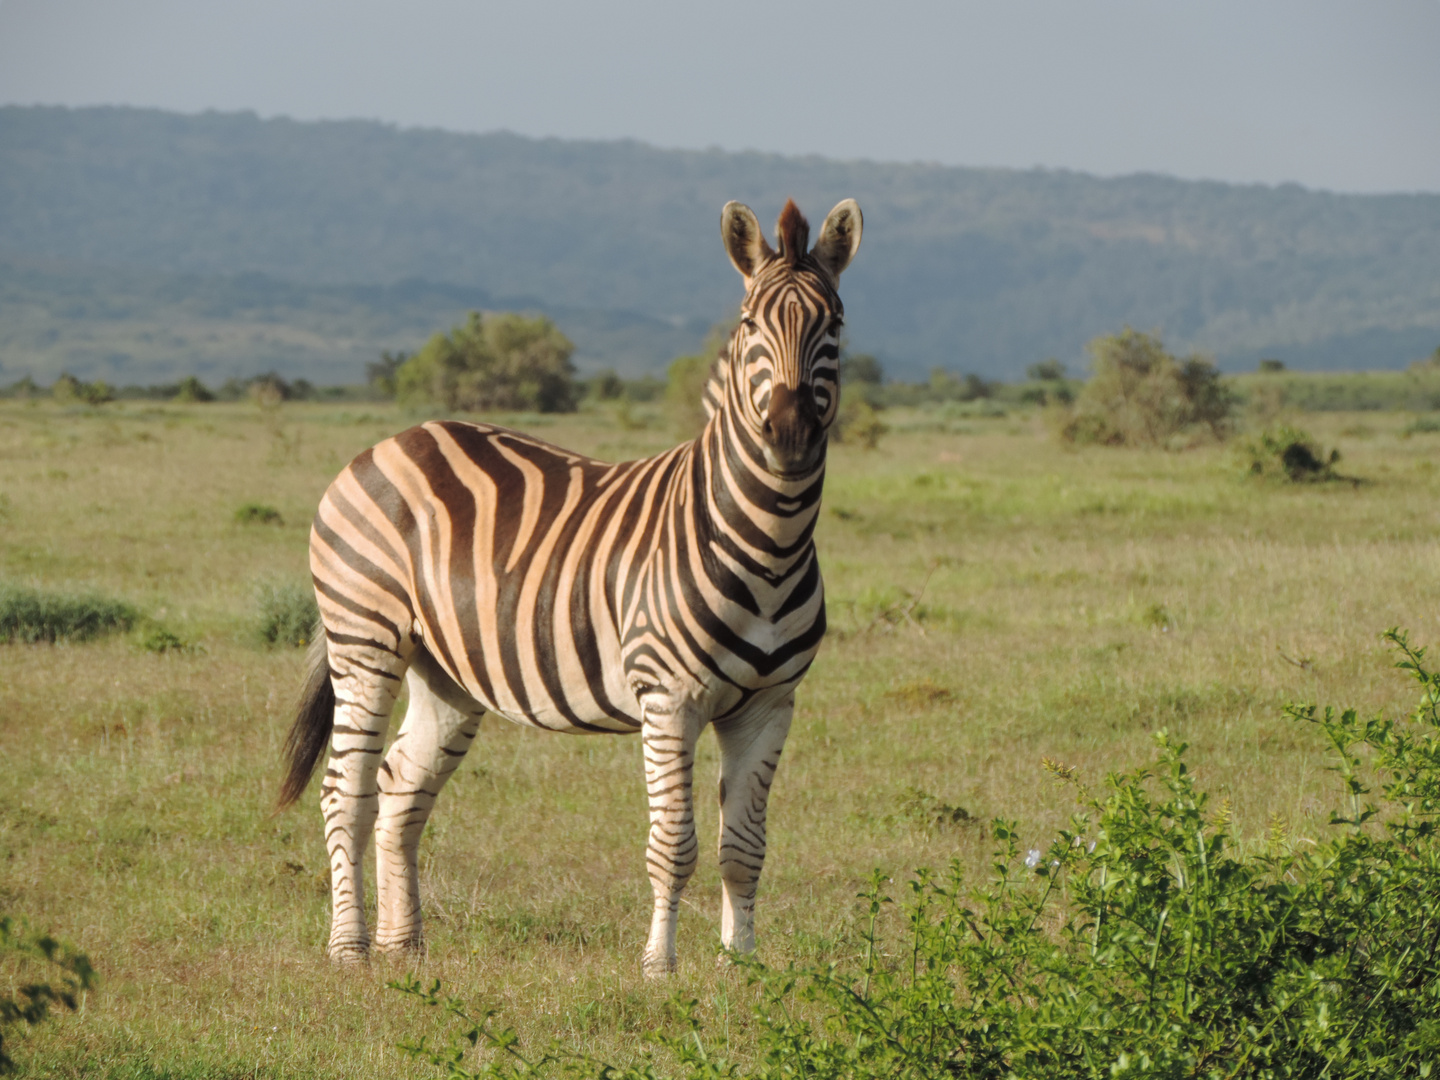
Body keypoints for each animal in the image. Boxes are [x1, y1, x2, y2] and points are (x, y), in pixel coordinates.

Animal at [280, 197, 864, 979]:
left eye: (835, 323)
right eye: (749, 324)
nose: (791, 431)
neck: (770, 542)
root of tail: (392, 442)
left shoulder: (770, 706)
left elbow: (743, 849)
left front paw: (741, 967)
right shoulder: (669, 698)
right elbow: (673, 844)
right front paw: (659, 968)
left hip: (446, 669)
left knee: (402, 783)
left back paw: (406, 945)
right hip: (364, 637)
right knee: (348, 790)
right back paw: (350, 949)